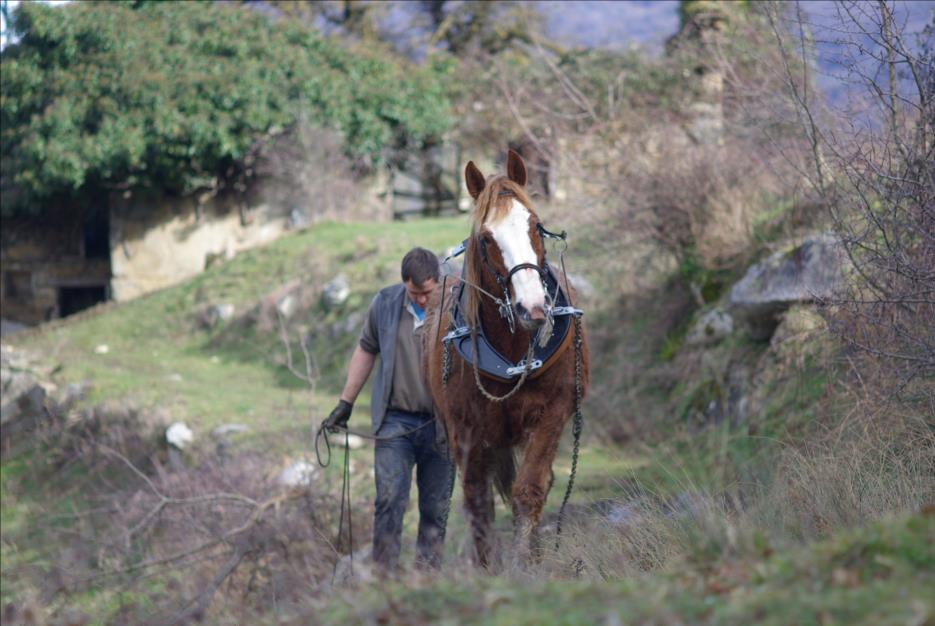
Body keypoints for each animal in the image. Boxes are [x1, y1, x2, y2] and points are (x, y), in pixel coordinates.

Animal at [426, 150, 592, 564]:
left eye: (536, 225)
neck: (513, 354)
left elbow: (529, 490)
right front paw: (490, 567)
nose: (531, 308)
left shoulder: (552, 414)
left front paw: (524, 562)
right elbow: (478, 504)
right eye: (487, 238)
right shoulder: (465, 431)